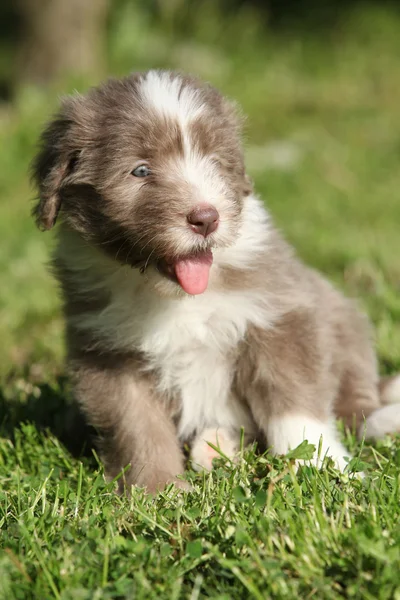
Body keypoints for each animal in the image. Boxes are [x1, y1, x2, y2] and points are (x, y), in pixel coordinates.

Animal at [32, 70, 400, 492]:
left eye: (215, 161)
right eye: (140, 170)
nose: (206, 218)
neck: (175, 298)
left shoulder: (279, 314)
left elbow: (294, 400)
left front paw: (321, 467)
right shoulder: (108, 352)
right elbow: (137, 427)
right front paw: (157, 491)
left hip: (344, 324)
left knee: (358, 409)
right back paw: (214, 448)